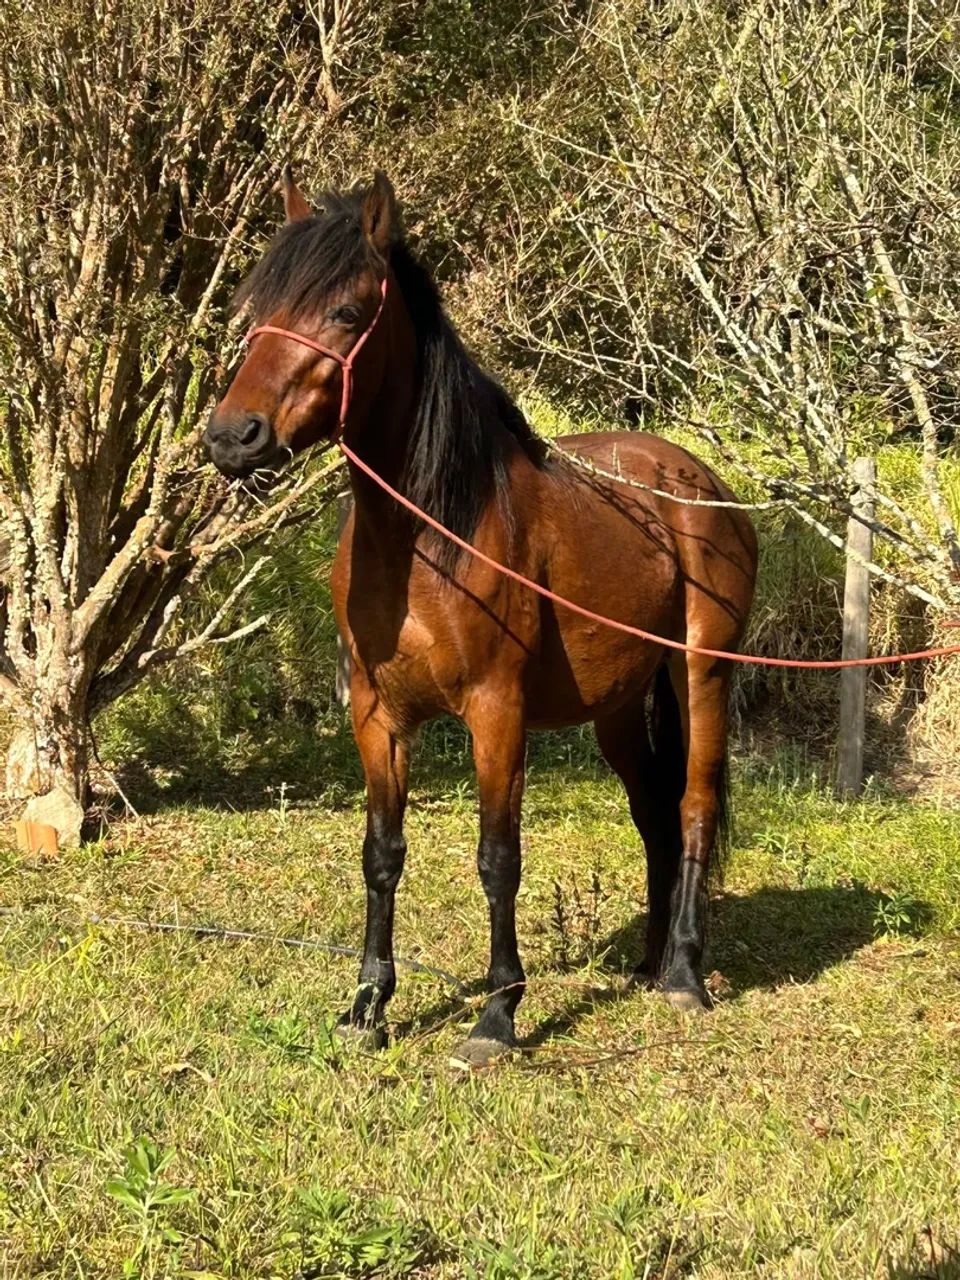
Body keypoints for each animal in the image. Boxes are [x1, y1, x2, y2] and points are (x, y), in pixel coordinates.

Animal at [204, 170, 758, 1068]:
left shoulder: (496, 714)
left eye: (346, 313)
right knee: (652, 812)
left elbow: (499, 858)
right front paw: (368, 1006)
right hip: (616, 709)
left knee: (694, 807)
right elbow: (381, 855)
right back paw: (647, 963)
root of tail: (698, 484)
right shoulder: (377, 718)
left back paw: (683, 973)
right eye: (259, 308)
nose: (231, 437)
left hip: (701, 674)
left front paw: (496, 1016)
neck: (431, 533)